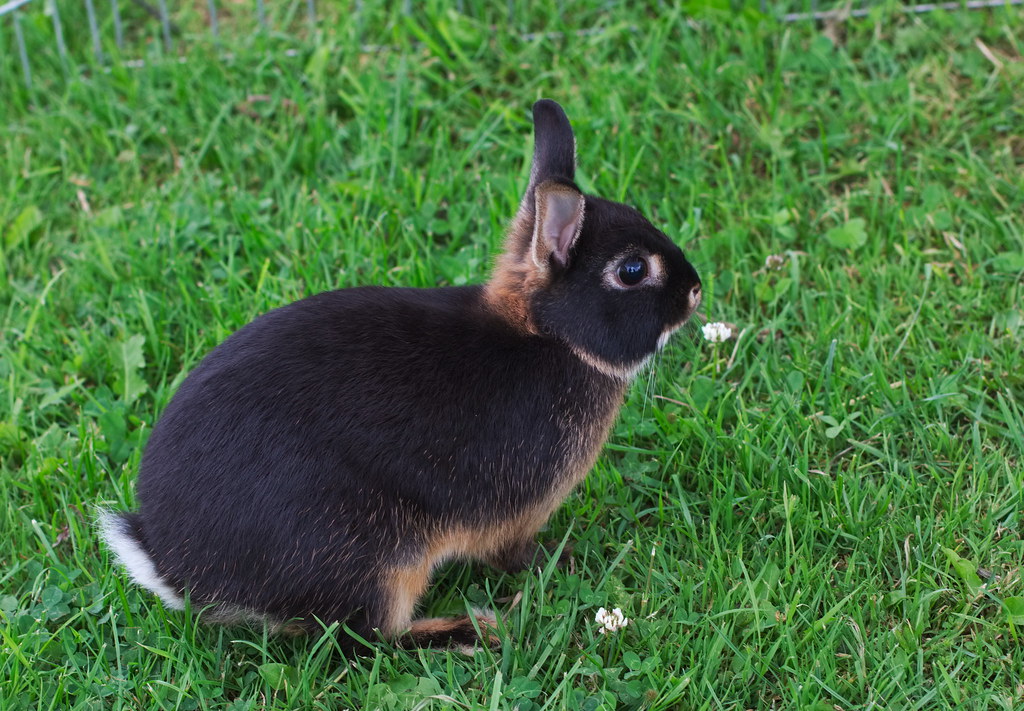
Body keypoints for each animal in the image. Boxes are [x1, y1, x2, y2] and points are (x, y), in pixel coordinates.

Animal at [100, 99, 702, 652]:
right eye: (632, 271)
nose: (696, 291)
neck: (549, 334)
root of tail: (178, 571)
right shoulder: (518, 513)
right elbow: (512, 555)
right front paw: (564, 559)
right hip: (375, 558)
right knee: (370, 636)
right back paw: (472, 631)